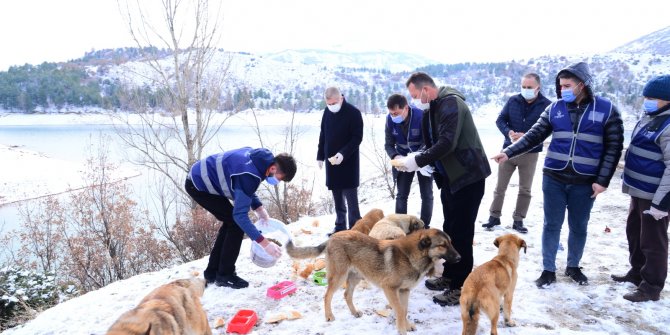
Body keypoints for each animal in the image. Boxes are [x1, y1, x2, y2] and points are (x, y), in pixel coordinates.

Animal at [286, 230, 464, 334]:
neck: (411, 256)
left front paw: (406, 325)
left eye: (451, 243)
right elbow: (399, 311)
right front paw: (402, 329)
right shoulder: (390, 289)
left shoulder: (404, 291)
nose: (460, 258)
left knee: (347, 294)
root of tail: (332, 237)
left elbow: (404, 310)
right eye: (442, 245)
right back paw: (329, 316)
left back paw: (354, 312)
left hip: (355, 277)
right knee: (327, 296)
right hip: (339, 277)